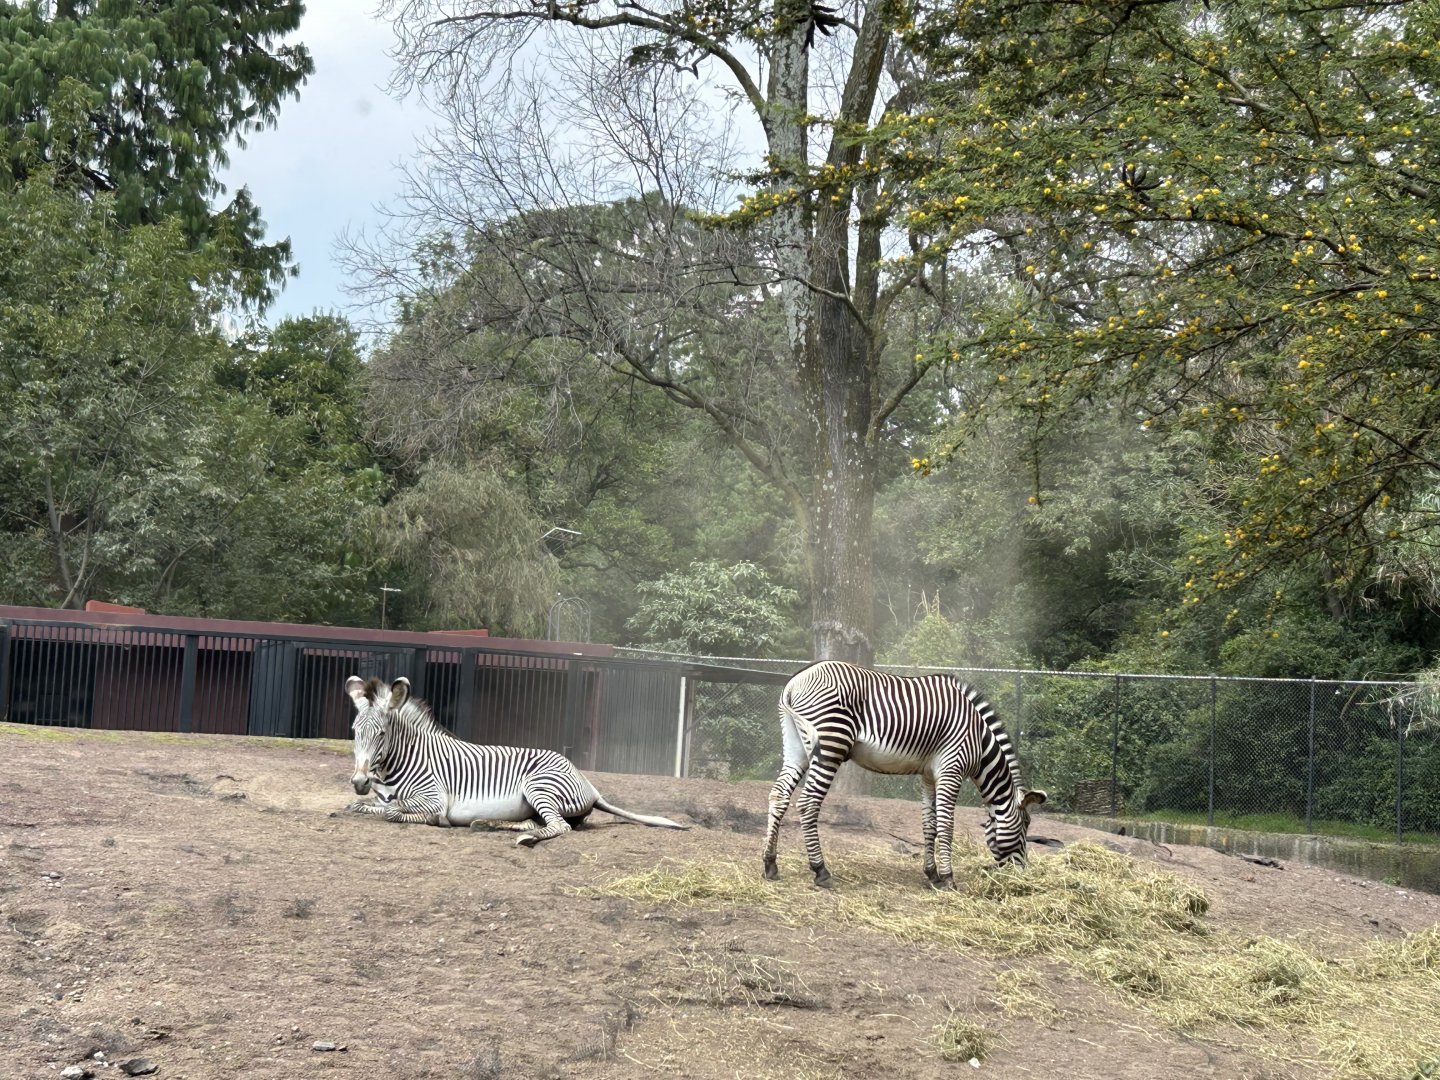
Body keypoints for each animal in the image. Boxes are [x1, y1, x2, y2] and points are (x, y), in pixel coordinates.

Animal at [343, 676, 688, 845]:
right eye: (355, 732)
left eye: (382, 734)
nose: (359, 781)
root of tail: (589, 785)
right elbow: (361, 805)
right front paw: (356, 804)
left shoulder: (435, 798)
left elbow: (393, 812)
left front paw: (429, 819)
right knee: (539, 821)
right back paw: (489, 824)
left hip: (539, 786)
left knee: (560, 827)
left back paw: (526, 838)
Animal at [761, 660, 1046, 888]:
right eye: (1026, 824)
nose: (1024, 873)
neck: (979, 741)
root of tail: (795, 681)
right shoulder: (951, 770)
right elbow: (946, 825)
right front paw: (949, 878)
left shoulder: (929, 775)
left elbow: (929, 825)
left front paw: (932, 875)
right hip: (832, 743)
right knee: (808, 803)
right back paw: (821, 871)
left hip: (796, 746)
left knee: (779, 795)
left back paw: (770, 864)